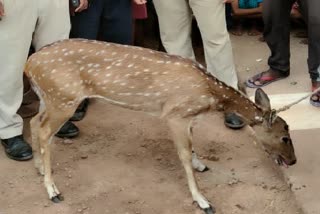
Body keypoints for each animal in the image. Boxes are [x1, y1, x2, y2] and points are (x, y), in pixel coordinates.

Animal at [25, 38, 298, 214]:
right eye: (285, 136)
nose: (293, 161)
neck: (208, 98)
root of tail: (29, 64)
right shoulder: (175, 114)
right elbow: (184, 155)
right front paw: (203, 201)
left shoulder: (187, 117)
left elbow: (192, 148)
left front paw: (201, 165)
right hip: (64, 98)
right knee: (45, 131)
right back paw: (53, 191)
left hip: (49, 97)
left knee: (34, 122)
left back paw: (39, 168)